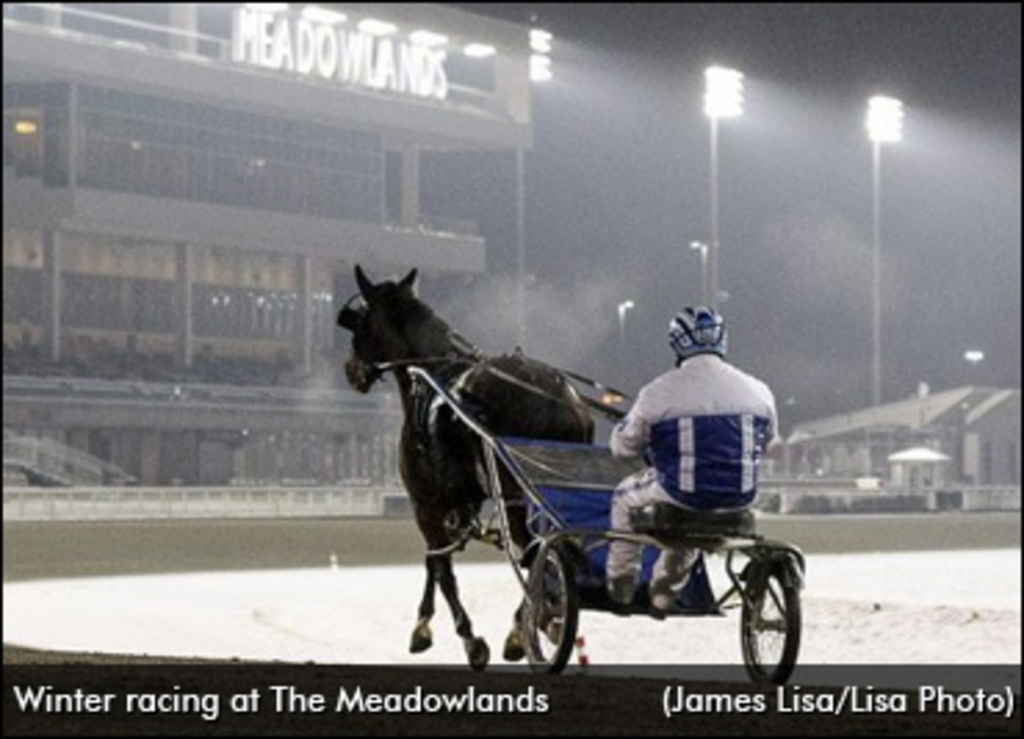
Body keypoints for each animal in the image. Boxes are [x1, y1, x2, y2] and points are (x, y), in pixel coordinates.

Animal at [337, 264, 593, 667]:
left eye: (360, 321)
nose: (351, 370)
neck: (432, 378)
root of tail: (561, 399)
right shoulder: (455, 503)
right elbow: (434, 560)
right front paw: (422, 626)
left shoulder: (425, 503)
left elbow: (441, 568)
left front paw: (467, 638)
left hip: (513, 497)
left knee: (535, 553)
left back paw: (531, 623)